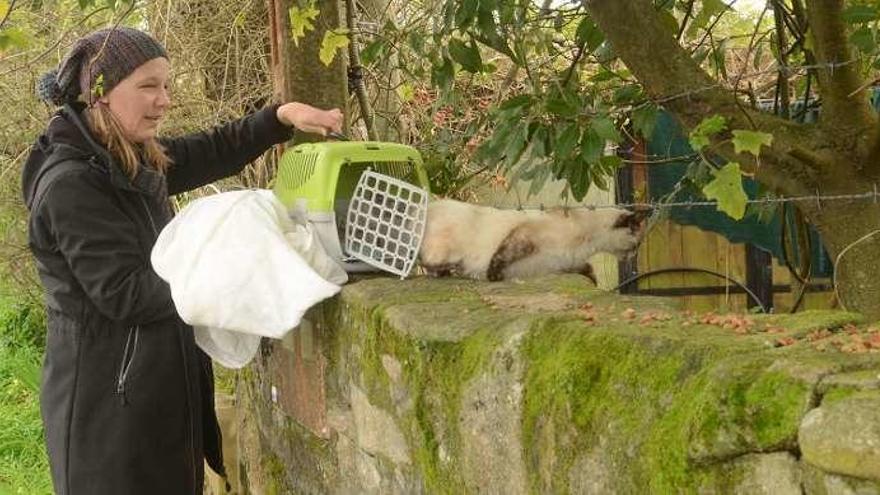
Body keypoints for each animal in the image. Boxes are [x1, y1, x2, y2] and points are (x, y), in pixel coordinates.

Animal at [420, 199, 648, 282]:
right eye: (637, 244)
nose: (635, 255)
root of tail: (431, 204)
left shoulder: (560, 264)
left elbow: (588, 269)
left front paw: (593, 281)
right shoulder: (526, 236)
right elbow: (500, 258)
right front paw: (493, 276)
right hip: (447, 249)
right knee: (426, 260)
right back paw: (455, 271)